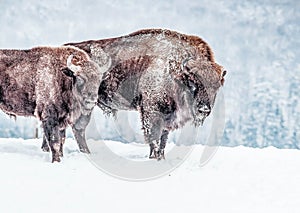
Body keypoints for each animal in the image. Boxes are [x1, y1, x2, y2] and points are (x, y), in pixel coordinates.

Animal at [65, 29, 225, 160]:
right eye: (193, 83)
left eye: (216, 86)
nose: (203, 109)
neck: (175, 72)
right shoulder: (151, 112)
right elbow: (154, 138)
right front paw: (154, 158)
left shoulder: (166, 118)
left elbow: (163, 140)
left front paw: (161, 158)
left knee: (78, 128)